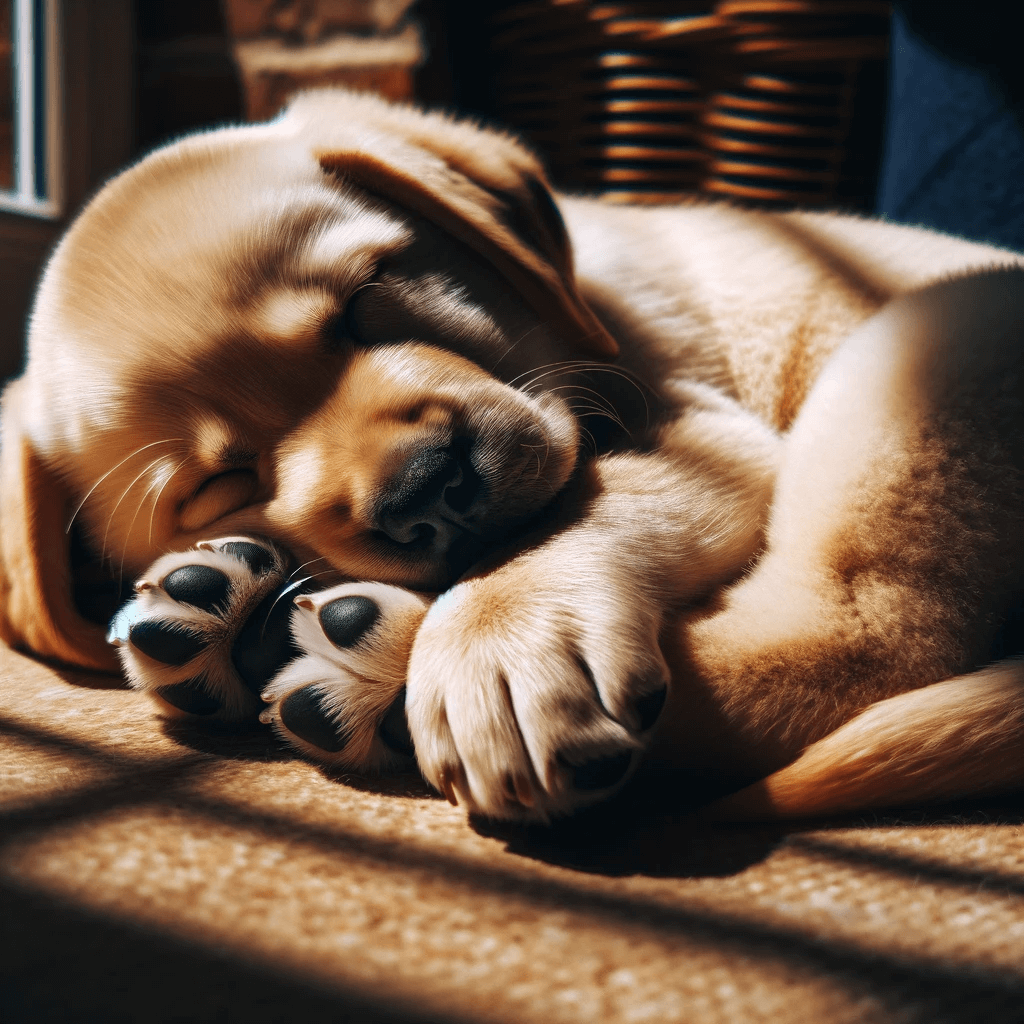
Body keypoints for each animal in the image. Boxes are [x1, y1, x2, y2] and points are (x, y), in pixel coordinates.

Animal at [2, 90, 1024, 823]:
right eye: (221, 482)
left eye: (368, 299)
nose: (431, 487)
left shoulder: (709, 430)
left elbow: (585, 502)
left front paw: (500, 640)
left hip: (928, 340)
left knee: (853, 640)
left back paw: (376, 675)